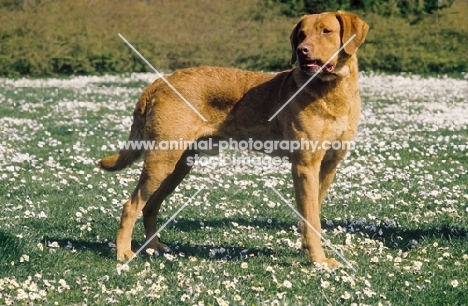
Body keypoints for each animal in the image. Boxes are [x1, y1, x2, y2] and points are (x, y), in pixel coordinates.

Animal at [99, 10, 370, 266]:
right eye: (301, 35)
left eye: (326, 31)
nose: (303, 51)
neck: (333, 90)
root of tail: (157, 83)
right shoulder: (305, 165)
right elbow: (311, 216)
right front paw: (319, 260)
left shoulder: (328, 165)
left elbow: (312, 212)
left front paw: (309, 250)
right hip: (162, 160)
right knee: (132, 205)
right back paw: (124, 252)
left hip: (178, 165)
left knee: (150, 205)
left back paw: (154, 246)